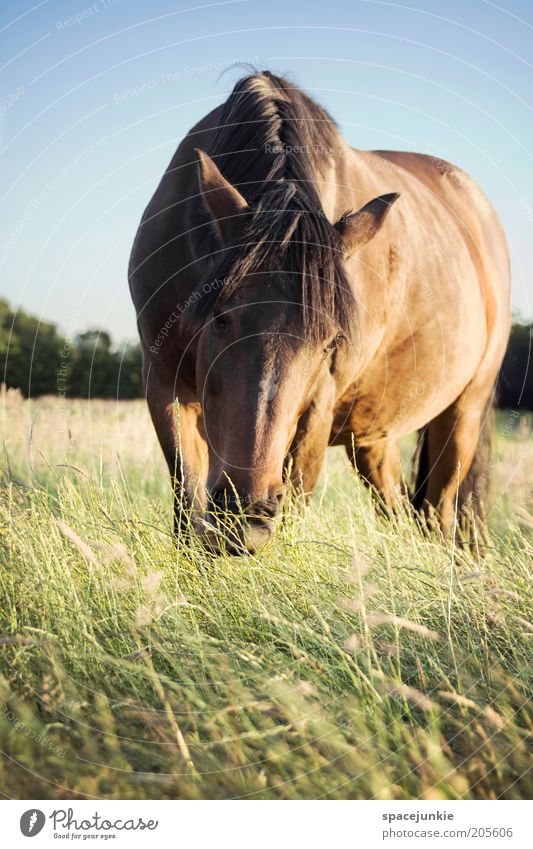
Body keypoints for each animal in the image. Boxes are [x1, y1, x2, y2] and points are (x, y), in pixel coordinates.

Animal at [128, 69, 508, 552]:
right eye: (221, 319)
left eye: (330, 341)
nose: (247, 516)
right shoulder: (164, 384)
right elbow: (188, 511)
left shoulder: (317, 411)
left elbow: (292, 506)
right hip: (374, 437)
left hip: (463, 414)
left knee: (438, 513)